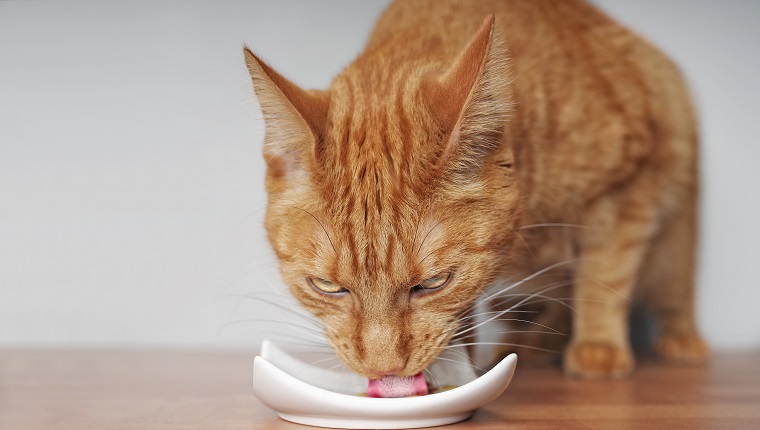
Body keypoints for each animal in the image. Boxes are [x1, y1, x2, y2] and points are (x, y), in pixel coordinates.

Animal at [246, 0, 708, 378]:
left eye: (434, 283)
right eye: (326, 287)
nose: (385, 369)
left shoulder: (628, 187)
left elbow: (603, 278)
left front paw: (598, 345)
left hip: (672, 245)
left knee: (672, 291)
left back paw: (680, 340)